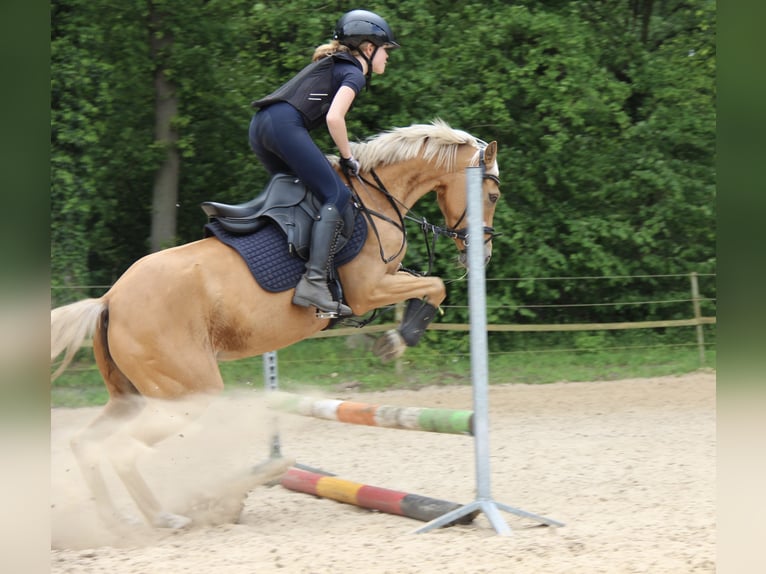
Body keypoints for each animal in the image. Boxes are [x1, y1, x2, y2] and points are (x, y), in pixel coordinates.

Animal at [49, 120, 504, 532]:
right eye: (493, 194)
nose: (482, 254)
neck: (374, 198)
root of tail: (110, 299)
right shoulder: (369, 289)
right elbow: (436, 286)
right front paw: (397, 340)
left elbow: (430, 286)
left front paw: (397, 338)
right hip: (186, 394)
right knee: (123, 451)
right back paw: (166, 517)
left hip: (131, 396)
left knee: (84, 443)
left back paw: (118, 520)